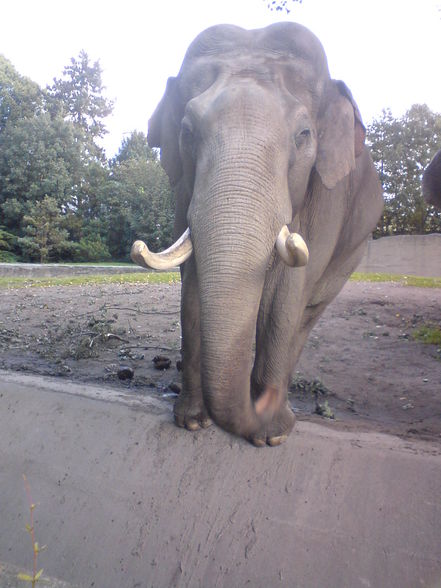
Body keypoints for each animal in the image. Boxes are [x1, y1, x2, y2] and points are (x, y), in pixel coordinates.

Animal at [130, 21, 382, 446]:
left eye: (304, 134)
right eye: (186, 131)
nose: (261, 398)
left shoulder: (326, 194)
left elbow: (287, 293)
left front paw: (271, 436)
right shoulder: (183, 189)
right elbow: (193, 284)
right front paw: (193, 421)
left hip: (355, 249)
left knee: (307, 313)